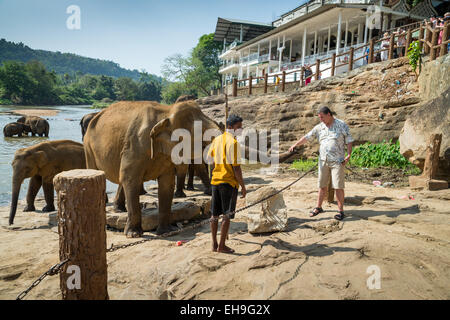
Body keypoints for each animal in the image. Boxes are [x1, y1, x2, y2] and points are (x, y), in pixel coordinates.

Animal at [83, 100, 223, 238]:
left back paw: (119, 209)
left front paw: (167, 231)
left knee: (121, 177)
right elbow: (131, 179)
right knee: (104, 171)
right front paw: (134, 234)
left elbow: (167, 183)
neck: (166, 112)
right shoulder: (134, 147)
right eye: (200, 134)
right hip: (88, 147)